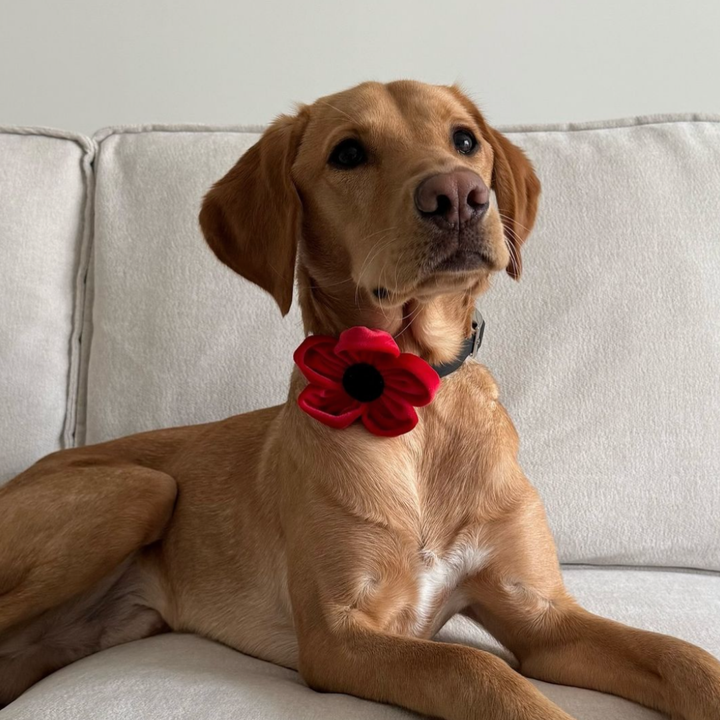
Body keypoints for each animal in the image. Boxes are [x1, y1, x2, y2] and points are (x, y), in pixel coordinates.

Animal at [1, 81, 720, 716]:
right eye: (347, 153)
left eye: (465, 139)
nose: (458, 195)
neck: (418, 401)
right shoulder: (339, 635)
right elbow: (477, 670)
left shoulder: (541, 616)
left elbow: (683, 657)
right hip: (140, 488)